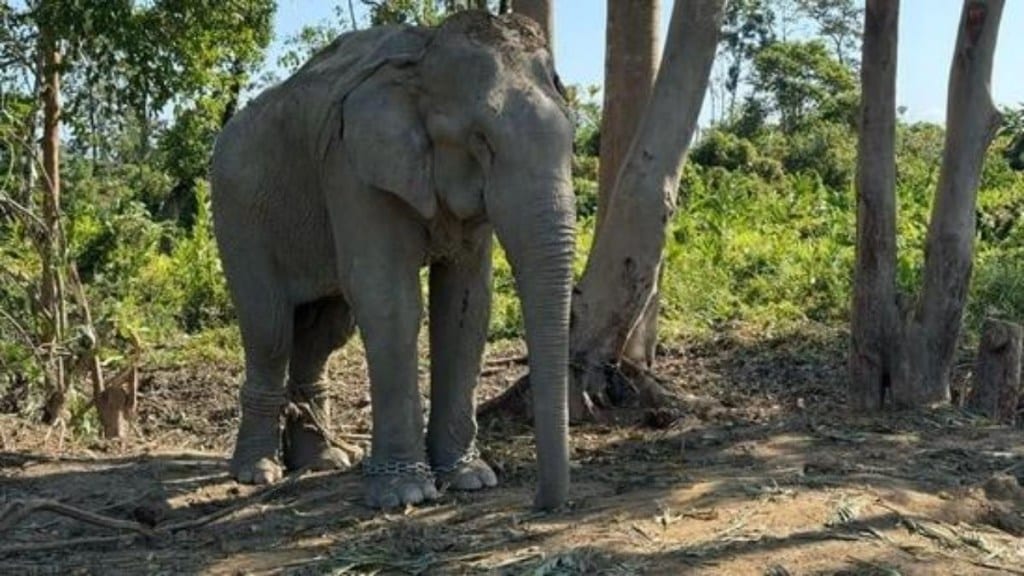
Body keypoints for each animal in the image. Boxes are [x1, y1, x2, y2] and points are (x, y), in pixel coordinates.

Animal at [209, 11, 575, 510]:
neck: (423, 57)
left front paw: (471, 479)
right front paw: (407, 494)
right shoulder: (352, 166)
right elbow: (388, 297)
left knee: (324, 330)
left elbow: (467, 304)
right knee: (270, 328)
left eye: (573, 139)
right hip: (239, 214)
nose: (540, 503)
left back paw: (323, 461)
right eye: (481, 141)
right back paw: (257, 472)